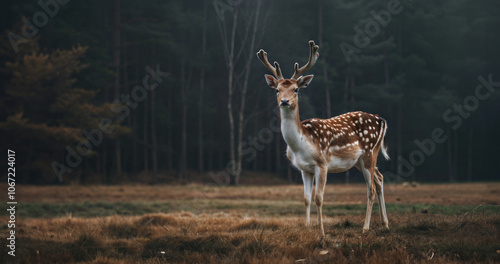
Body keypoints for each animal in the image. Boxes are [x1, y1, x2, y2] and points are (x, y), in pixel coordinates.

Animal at [258, 41, 390, 237]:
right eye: (277, 90)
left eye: (296, 89)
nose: (284, 101)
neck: (301, 145)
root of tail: (380, 119)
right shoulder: (304, 169)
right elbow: (306, 198)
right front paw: (306, 227)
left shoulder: (322, 164)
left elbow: (319, 198)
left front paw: (321, 231)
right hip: (360, 160)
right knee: (380, 178)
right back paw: (385, 223)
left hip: (369, 152)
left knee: (371, 188)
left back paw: (365, 227)